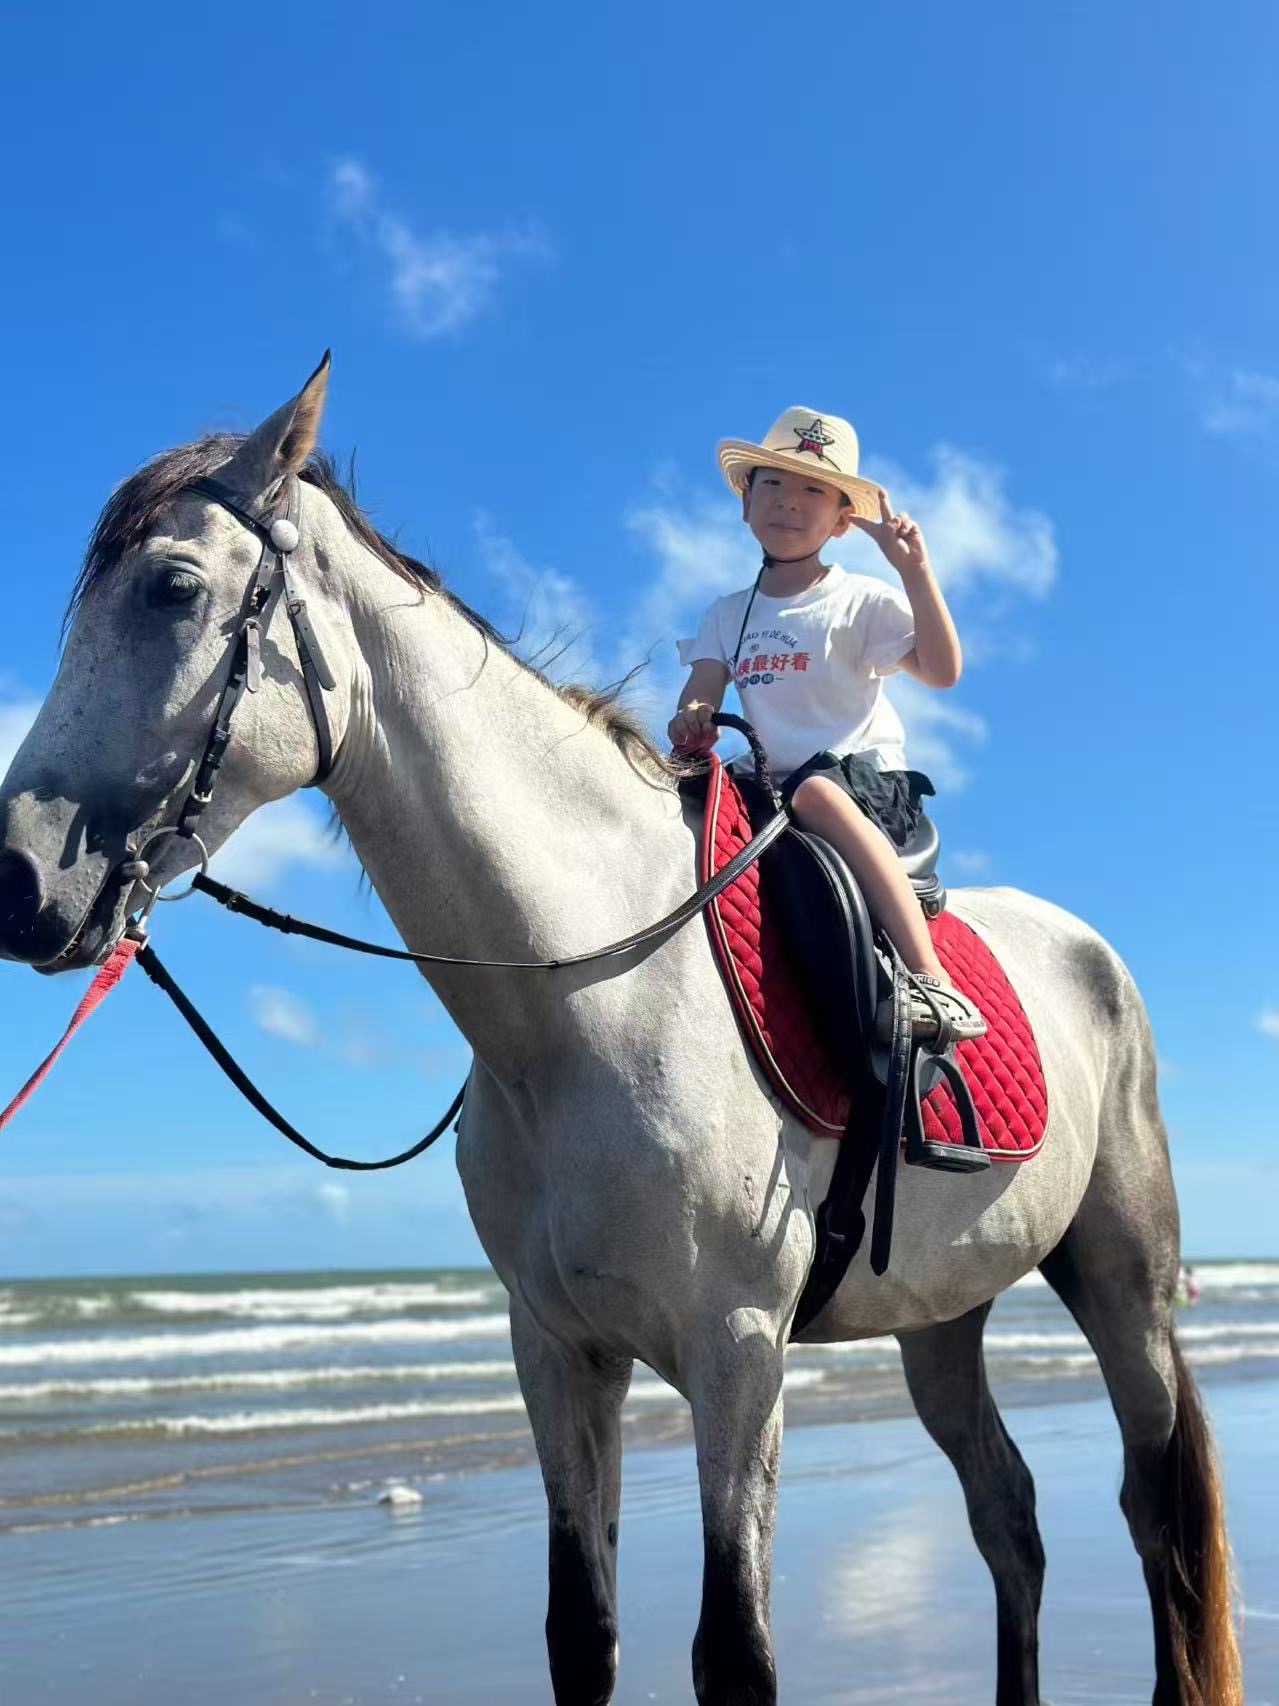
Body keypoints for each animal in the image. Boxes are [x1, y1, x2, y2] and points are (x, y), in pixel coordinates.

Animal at [0, 359, 1240, 1706]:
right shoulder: (556, 1351)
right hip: (940, 1312)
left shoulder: (737, 1353)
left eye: (173, 588)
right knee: (1009, 1515)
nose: (17, 879)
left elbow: (733, 1649)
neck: (584, 1003)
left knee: (1157, 1518)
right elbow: (578, 1629)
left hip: (1122, 1282)